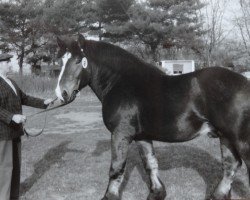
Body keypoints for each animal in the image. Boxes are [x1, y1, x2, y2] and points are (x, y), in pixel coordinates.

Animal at [55, 33, 250, 199]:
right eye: (60, 61)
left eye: (78, 60)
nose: (62, 93)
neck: (121, 83)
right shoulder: (142, 136)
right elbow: (150, 163)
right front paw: (156, 193)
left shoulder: (120, 134)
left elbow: (116, 168)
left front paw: (109, 196)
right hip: (226, 136)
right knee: (231, 165)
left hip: (240, 140)